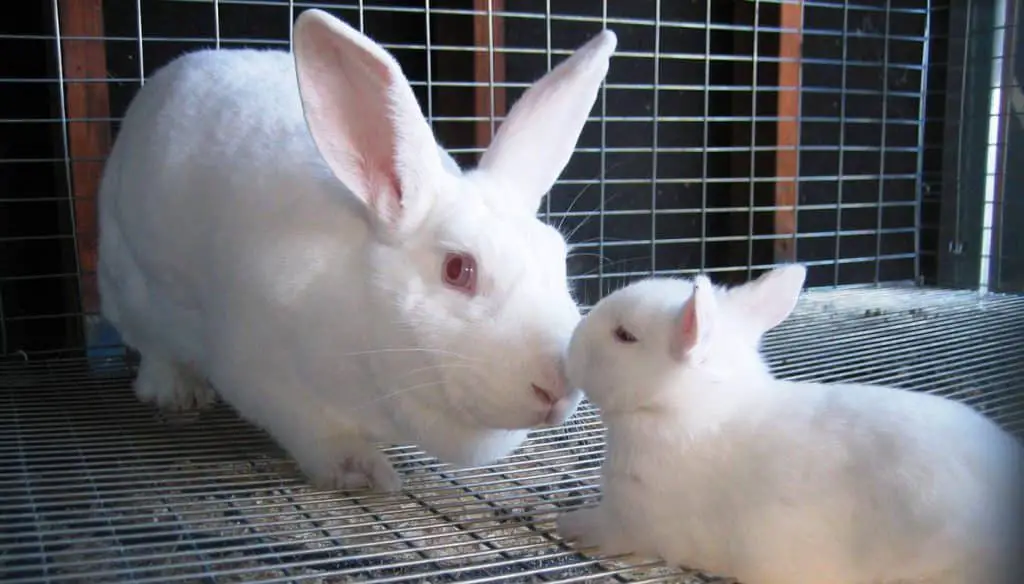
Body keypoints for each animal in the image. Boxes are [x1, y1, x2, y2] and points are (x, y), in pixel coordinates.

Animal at [99, 9, 618, 491]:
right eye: (457, 269)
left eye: (559, 260)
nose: (559, 384)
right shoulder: (261, 372)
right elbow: (319, 434)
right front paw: (363, 472)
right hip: (128, 287)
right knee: (152, 347)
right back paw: (177, 391)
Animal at [561, 264, 1024, 581]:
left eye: (625, 335)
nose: (570, 346)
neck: (692, 410)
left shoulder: (637, 525)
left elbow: (610, 532)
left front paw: (573, 525)